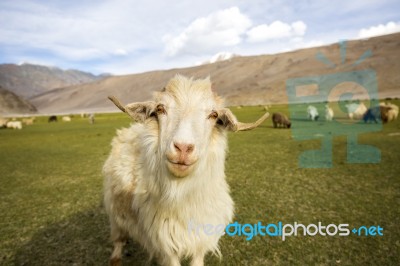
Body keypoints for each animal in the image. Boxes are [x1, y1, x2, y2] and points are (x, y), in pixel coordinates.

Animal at [101, 75, 270, 266]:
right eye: (160, 109)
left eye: (214, 115)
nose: (183, 147)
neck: (181, 195)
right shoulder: (166, 244)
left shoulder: (201, 238)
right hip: (115, 210)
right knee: (118, 237)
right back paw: (115, 257)